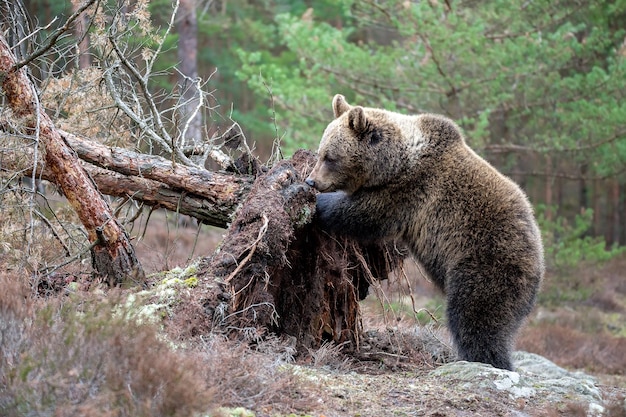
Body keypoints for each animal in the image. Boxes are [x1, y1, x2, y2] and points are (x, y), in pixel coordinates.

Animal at [304, 93, 544, 368]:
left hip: (486, 263)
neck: (395, 162)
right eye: (321, 152)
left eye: (330, 157)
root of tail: (538, 261)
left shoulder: (409, 191)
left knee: (475, 317)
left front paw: (319, 202)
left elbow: (364, 213)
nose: (312, 181)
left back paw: (484, 360)